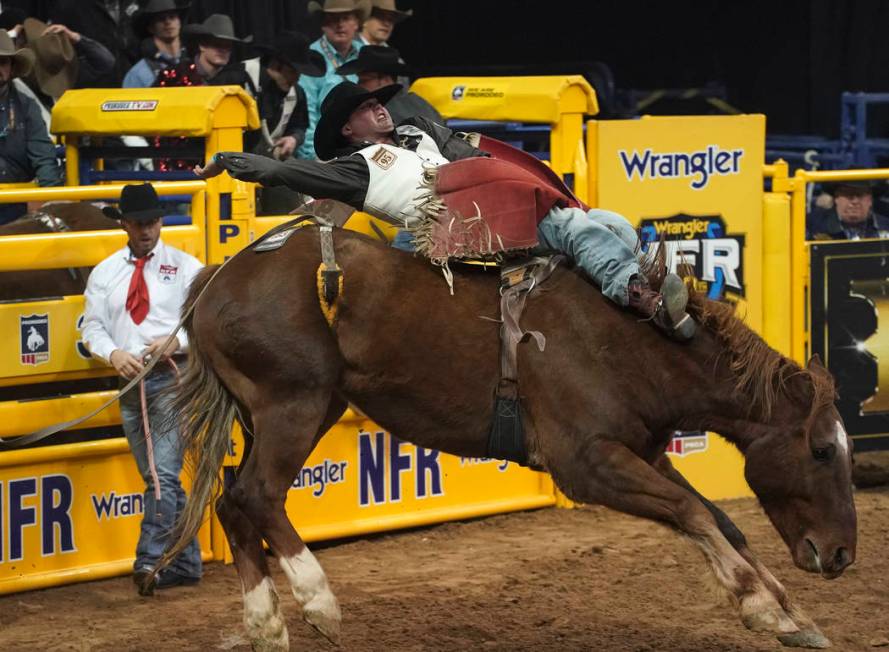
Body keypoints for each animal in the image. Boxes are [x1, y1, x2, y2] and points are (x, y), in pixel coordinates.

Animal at [158, 224, 852, 648]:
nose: (842, 554)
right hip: (294, 403)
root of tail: (218, 276)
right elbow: (693, 512)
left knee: (232, 501)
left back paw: (266, 625)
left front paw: (792, 614)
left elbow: (719, 520)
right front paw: (762, 604)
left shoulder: (645, 453)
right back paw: (317, 601)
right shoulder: (587, 463)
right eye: (821, 450)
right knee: (256, 495)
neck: (635, 343)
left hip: (296, 408)